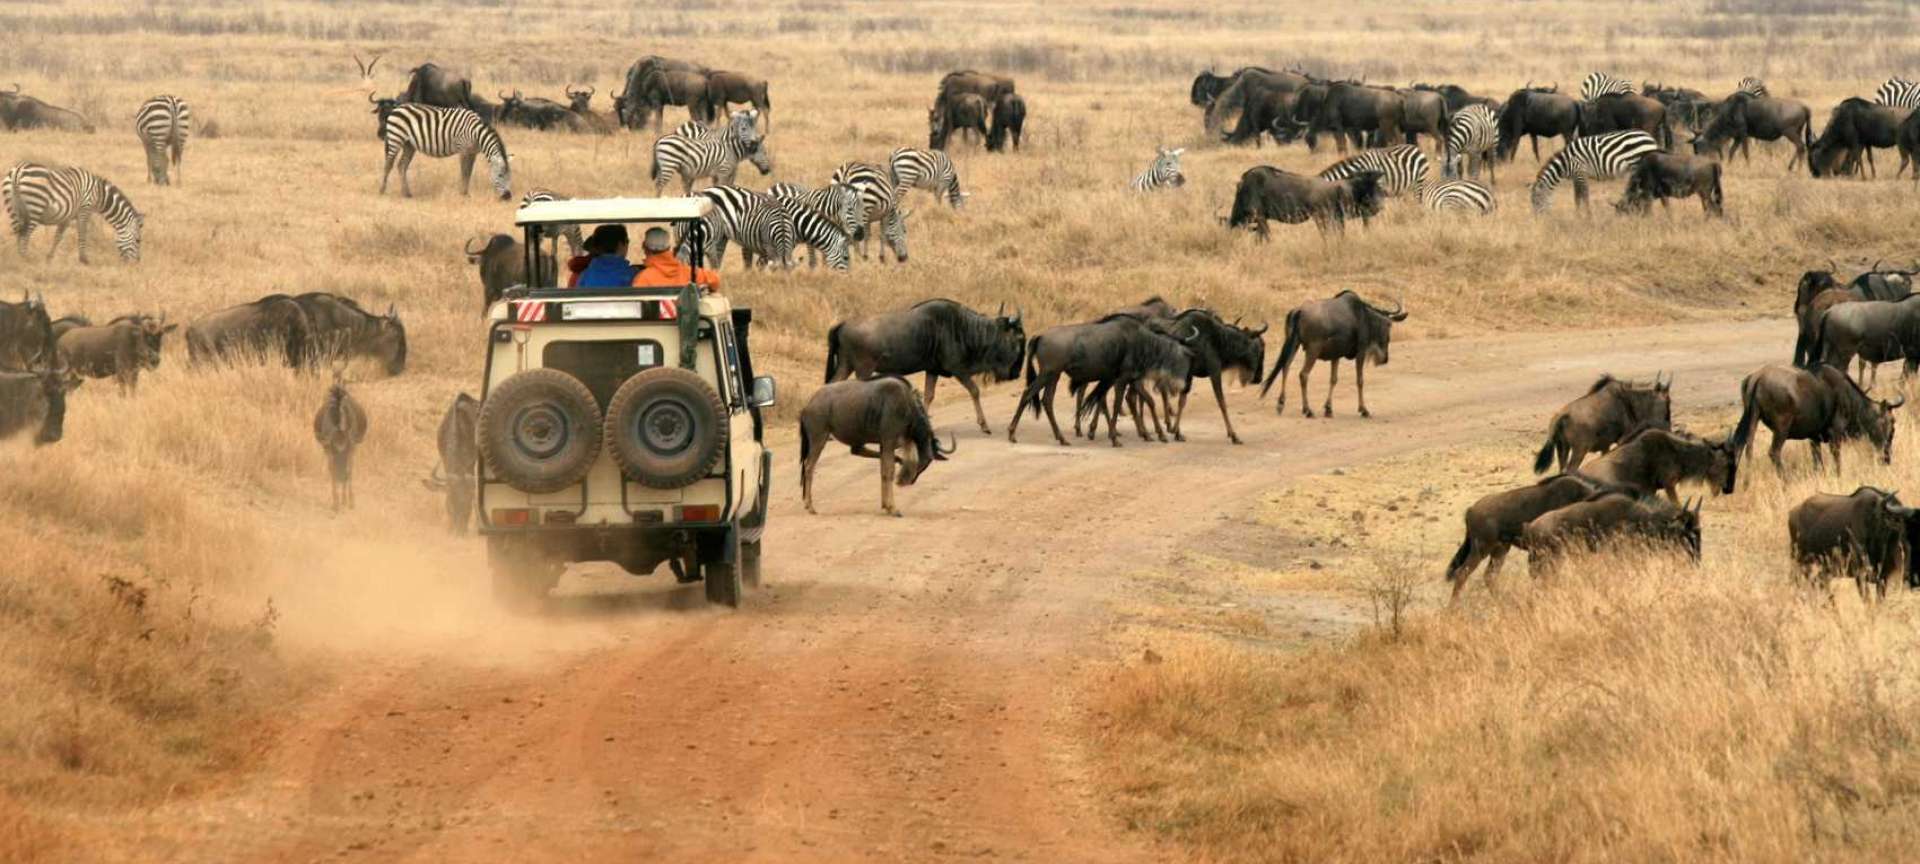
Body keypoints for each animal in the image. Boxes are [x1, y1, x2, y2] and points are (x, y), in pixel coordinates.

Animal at [2, 161, 142, 263]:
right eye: (138, 240)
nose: (136, 263)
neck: (99, 194)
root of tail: (18, 171)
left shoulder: (66, 217)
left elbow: (58, 236)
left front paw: (49, 257)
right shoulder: (85, 209)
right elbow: (82, 234)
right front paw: (84, 259)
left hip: (13, 209)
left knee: (18, 232)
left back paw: (16, 256)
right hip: (35, 207)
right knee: (25, 234)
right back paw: (25, 258)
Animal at [378, 103, 514, 199]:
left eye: (510, 176)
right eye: (500, 175)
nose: (508, 197)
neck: (476, 132)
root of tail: (397, 108)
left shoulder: (472, 152)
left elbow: (469, 172)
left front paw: (465, 192)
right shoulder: (463, 150)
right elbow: (465, 172)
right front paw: (463, 194)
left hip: (409, 144)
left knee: (402, 165)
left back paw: (406, 194)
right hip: (396, 138)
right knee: (388, 164)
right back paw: (382, 190)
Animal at [1520, 129, 1658, 214]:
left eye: (1536, 201)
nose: (1538, 220)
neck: (1565, 163)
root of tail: (1650, 138)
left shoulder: (1581, 172)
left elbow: (1584, 196)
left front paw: (1587, 216)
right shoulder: (1576, 177)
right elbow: (1577, 197)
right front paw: (1578, 215)